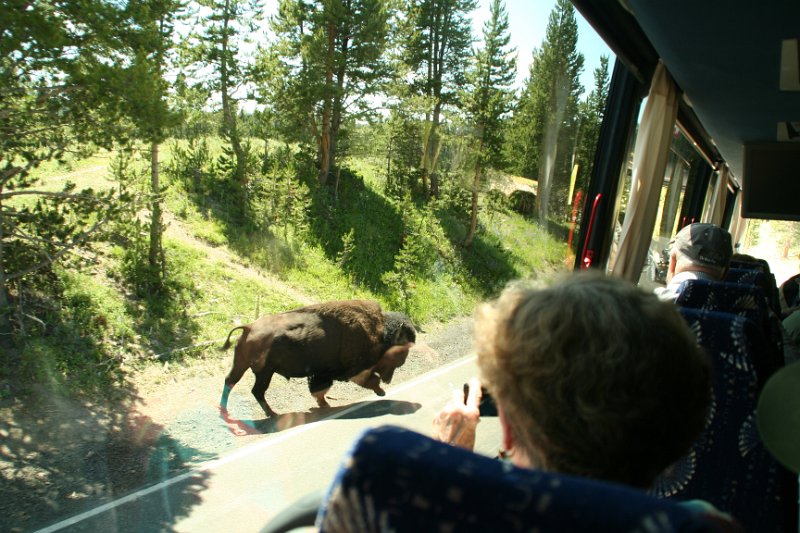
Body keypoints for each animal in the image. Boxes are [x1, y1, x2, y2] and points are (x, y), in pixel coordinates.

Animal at [220, 300, 416, 416]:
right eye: (398, 352)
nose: (389, 379)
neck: (380, 332)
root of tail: (249, 327)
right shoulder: (353, 369)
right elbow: (368, 379)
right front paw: (381, 391)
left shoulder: (322, 373)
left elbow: (319, 389)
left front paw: (323, 405)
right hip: (263, 372)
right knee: (255, 390)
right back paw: (272, 414)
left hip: (245, 366)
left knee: (232, 381)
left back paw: (227, 412)